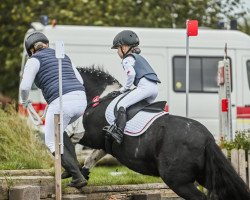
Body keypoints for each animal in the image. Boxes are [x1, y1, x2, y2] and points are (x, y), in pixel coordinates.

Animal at [77, 67, 248, 200]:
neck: (100, 98)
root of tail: (207, 139)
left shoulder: (90, 136)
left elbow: (75, 141)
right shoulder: (103, 144)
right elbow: (91, 158)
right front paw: (80, 177)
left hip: (177, 181)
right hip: (206, 175)